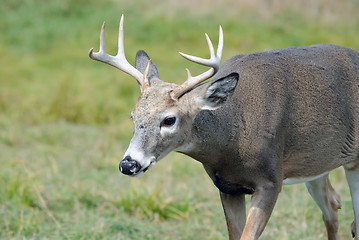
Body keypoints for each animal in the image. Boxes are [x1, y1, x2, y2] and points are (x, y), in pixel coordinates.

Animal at [89, 15, 359, 240]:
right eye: (133, 115)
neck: (232, 138)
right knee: (333, 204)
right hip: (317, 163)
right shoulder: (227, 186)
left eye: (169, 119)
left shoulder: (271, 180)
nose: (128, 164)